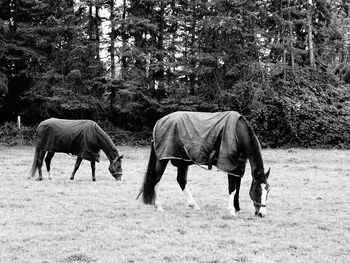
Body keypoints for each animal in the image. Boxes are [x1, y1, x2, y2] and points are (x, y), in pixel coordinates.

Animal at [139, 112, 270, 219]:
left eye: (268, 190)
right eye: (257, 190)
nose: (262, 214)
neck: (238, 133)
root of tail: (159, 123)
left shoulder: (237, 167)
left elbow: (237, 187)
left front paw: (237, 209)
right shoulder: (230, 165)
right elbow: (232, 188)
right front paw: (231, 211)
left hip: (182, 161)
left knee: (181, 180)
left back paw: (194, 205)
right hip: (163, 160)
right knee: (156, 179)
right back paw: (159, 206)